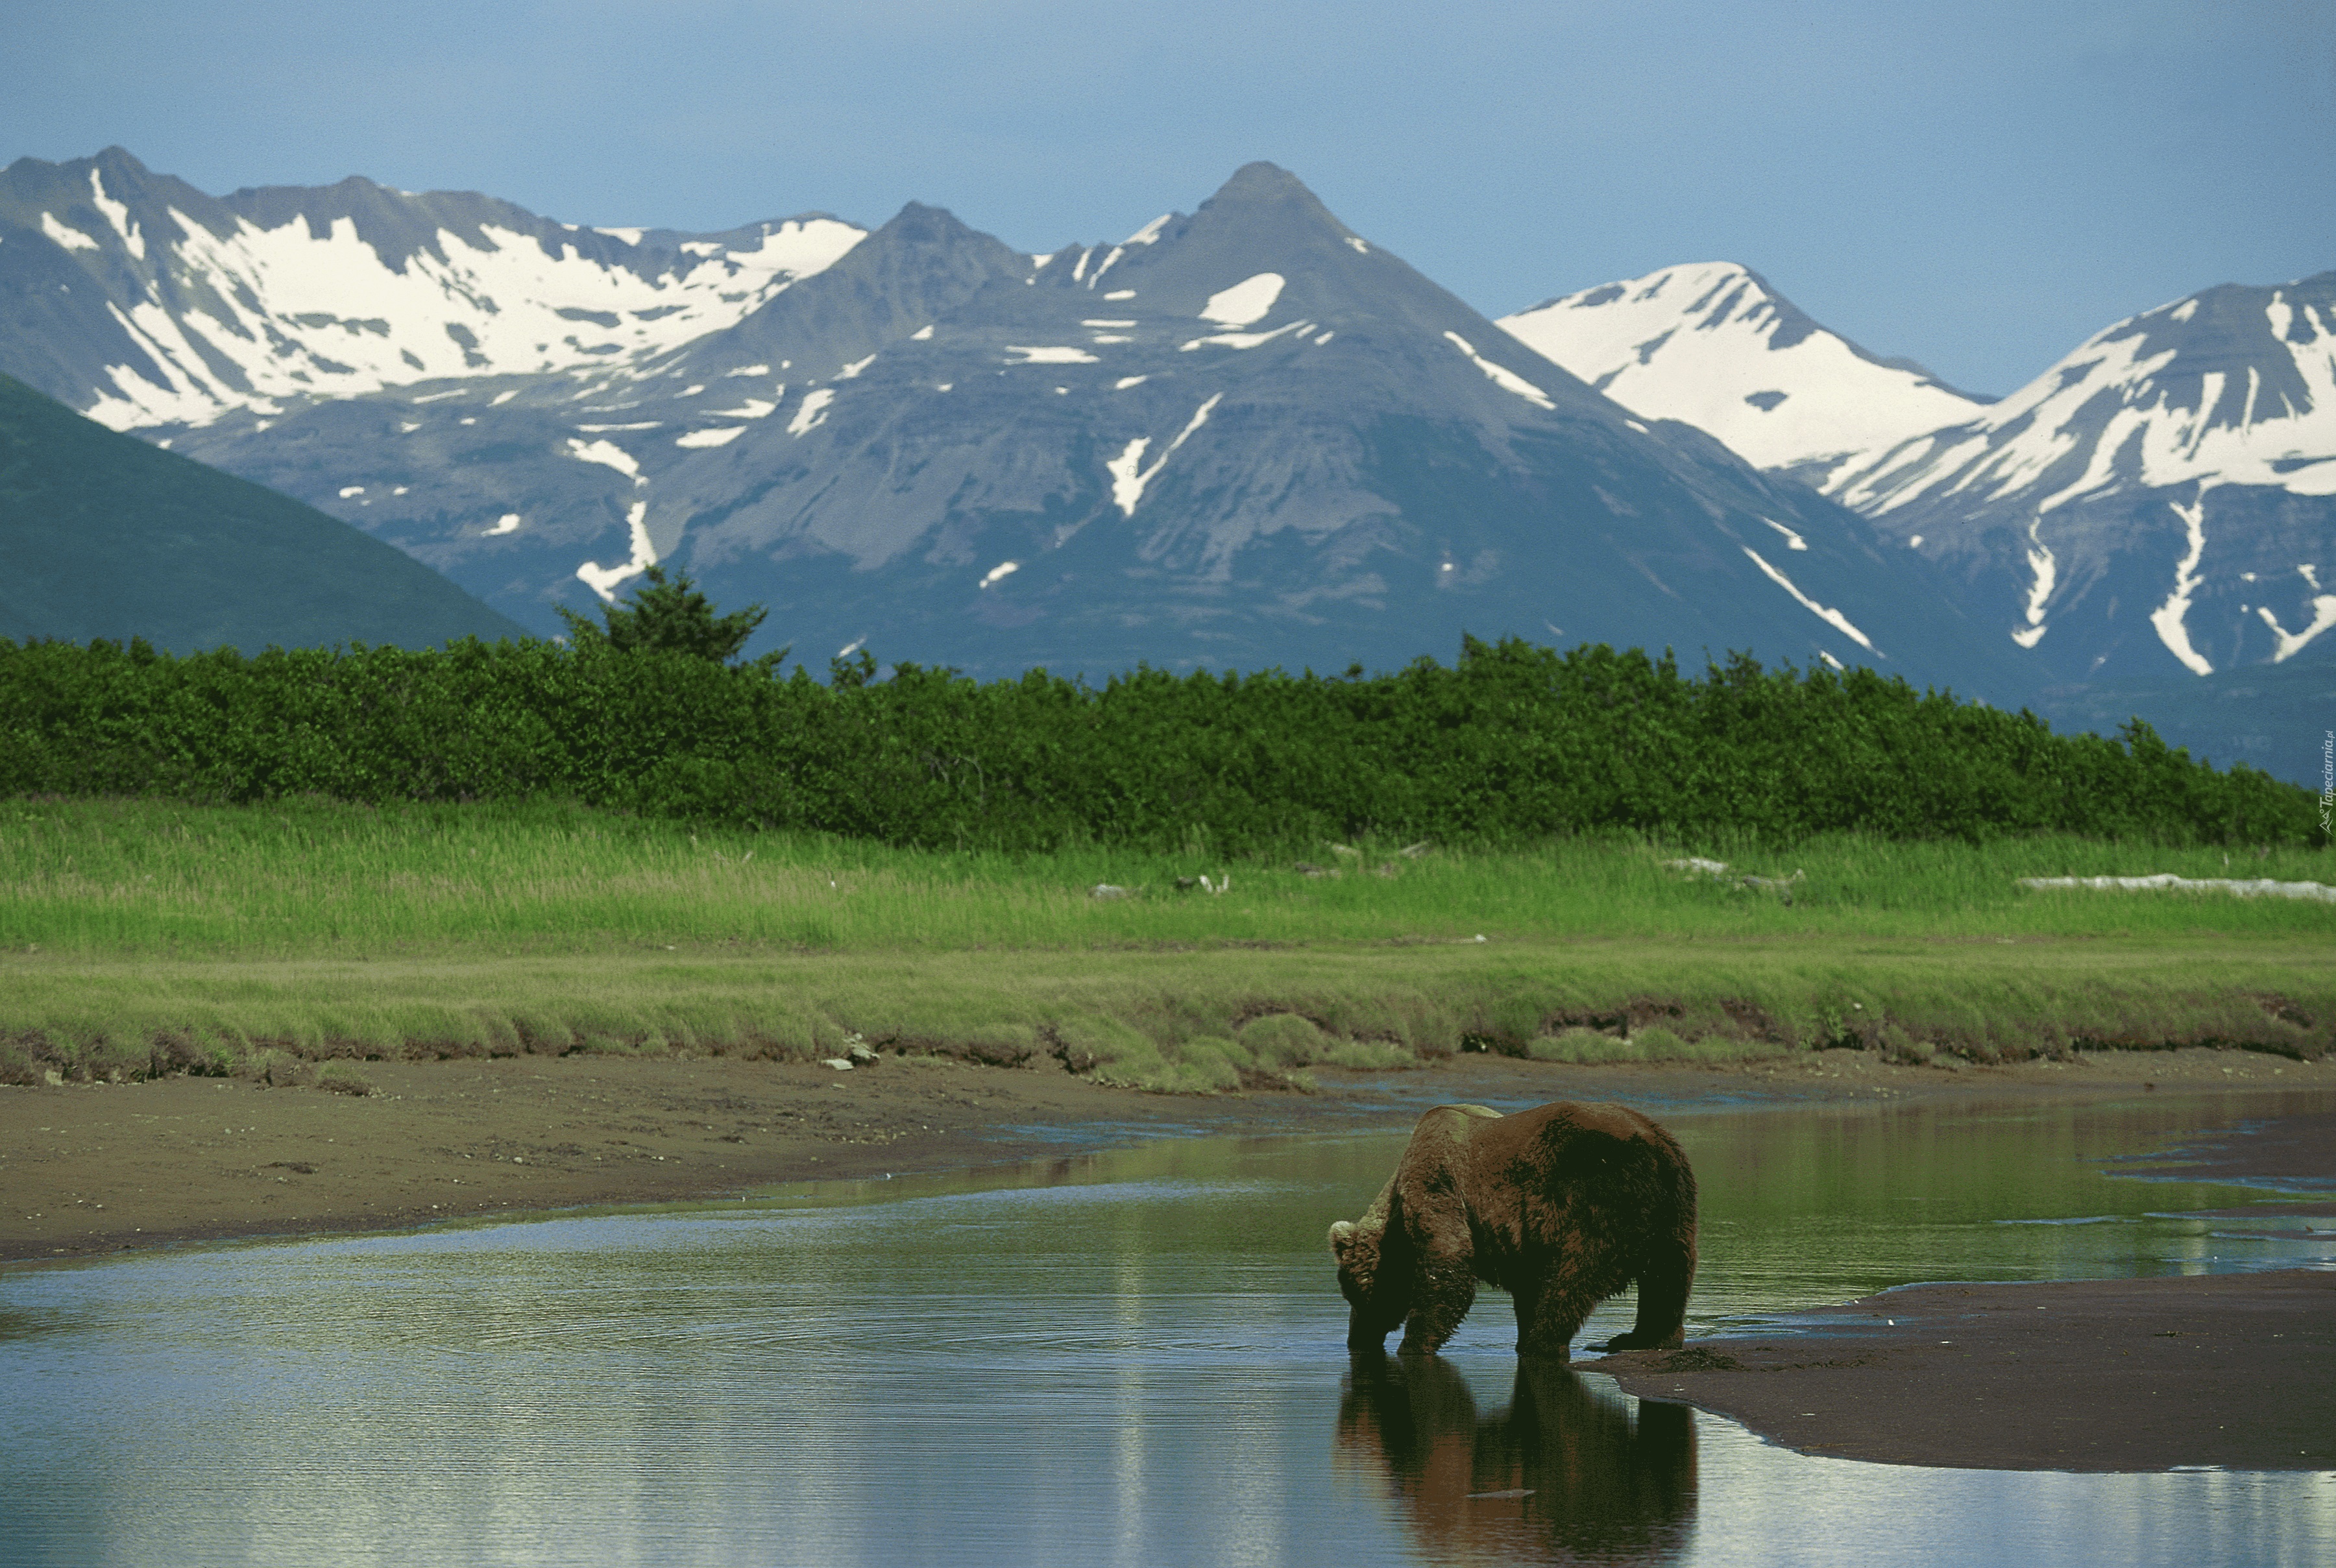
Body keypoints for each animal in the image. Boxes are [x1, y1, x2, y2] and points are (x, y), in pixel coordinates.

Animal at [1336, 1103, 1700, 1364]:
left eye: (1351, 1292)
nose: (1355, 1340)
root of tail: (1656, 1143)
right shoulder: (1523, 1237)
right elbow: (1527, 1288)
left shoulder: (1438, 1181)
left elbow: (1449, 1262)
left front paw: (1412, 1345)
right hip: (1676, 1207)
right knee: (1669, 1275)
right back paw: (1647, 1338)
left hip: (1596, 1193)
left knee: (1575, 1273)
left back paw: (1545, 1343)